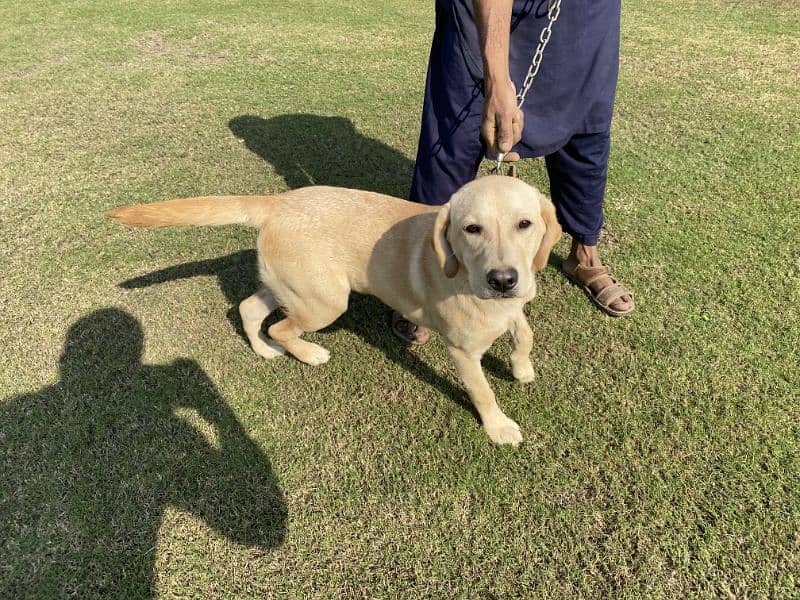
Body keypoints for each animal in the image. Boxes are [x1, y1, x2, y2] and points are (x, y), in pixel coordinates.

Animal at [108, 176, 564, 442]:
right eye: (472, 228)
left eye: (525, 224)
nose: (503, 280)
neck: (465, 272)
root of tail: (276, 202)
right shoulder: (463, 351)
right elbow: (483, 391)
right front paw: (499, 427)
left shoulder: (514, 307)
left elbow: (525, 332)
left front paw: (522, 367)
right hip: (325, 301)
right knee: (280, 327)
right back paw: (308, 354)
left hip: (292, 286)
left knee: (250, 309)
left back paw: (263, 350)